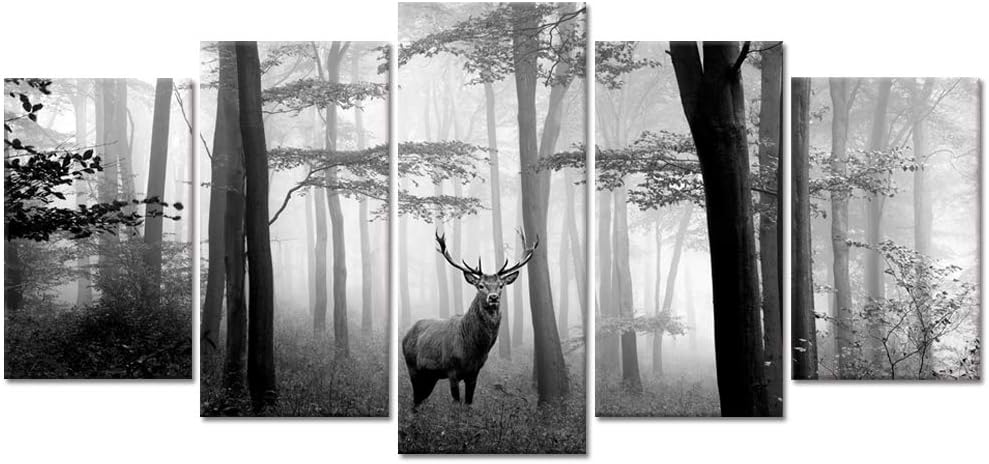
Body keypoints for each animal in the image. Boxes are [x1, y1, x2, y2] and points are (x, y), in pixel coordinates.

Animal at [402, 230, 537, 409]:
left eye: (501, 285)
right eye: (480, 285)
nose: (493, 297)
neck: (473, 350)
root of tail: (405, 335)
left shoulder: (474, 373)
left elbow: (468, 404)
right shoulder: (451, 369)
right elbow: (456, 404)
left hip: (431, 376)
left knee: (420, 399)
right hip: (412, 366)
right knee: (415, 398)